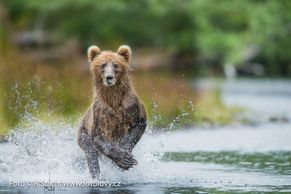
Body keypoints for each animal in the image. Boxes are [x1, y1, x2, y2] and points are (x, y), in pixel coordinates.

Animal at [77, 44, 147, 178]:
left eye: (115, 65)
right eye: (102, 65)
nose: (109, 77)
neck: (114, 98)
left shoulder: (131, 107)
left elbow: (137, 126)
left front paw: (125, 155)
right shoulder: (100, 112)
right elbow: (98, 136)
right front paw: (123, 159)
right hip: (83, 134)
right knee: (91, 155)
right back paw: (96, 176)